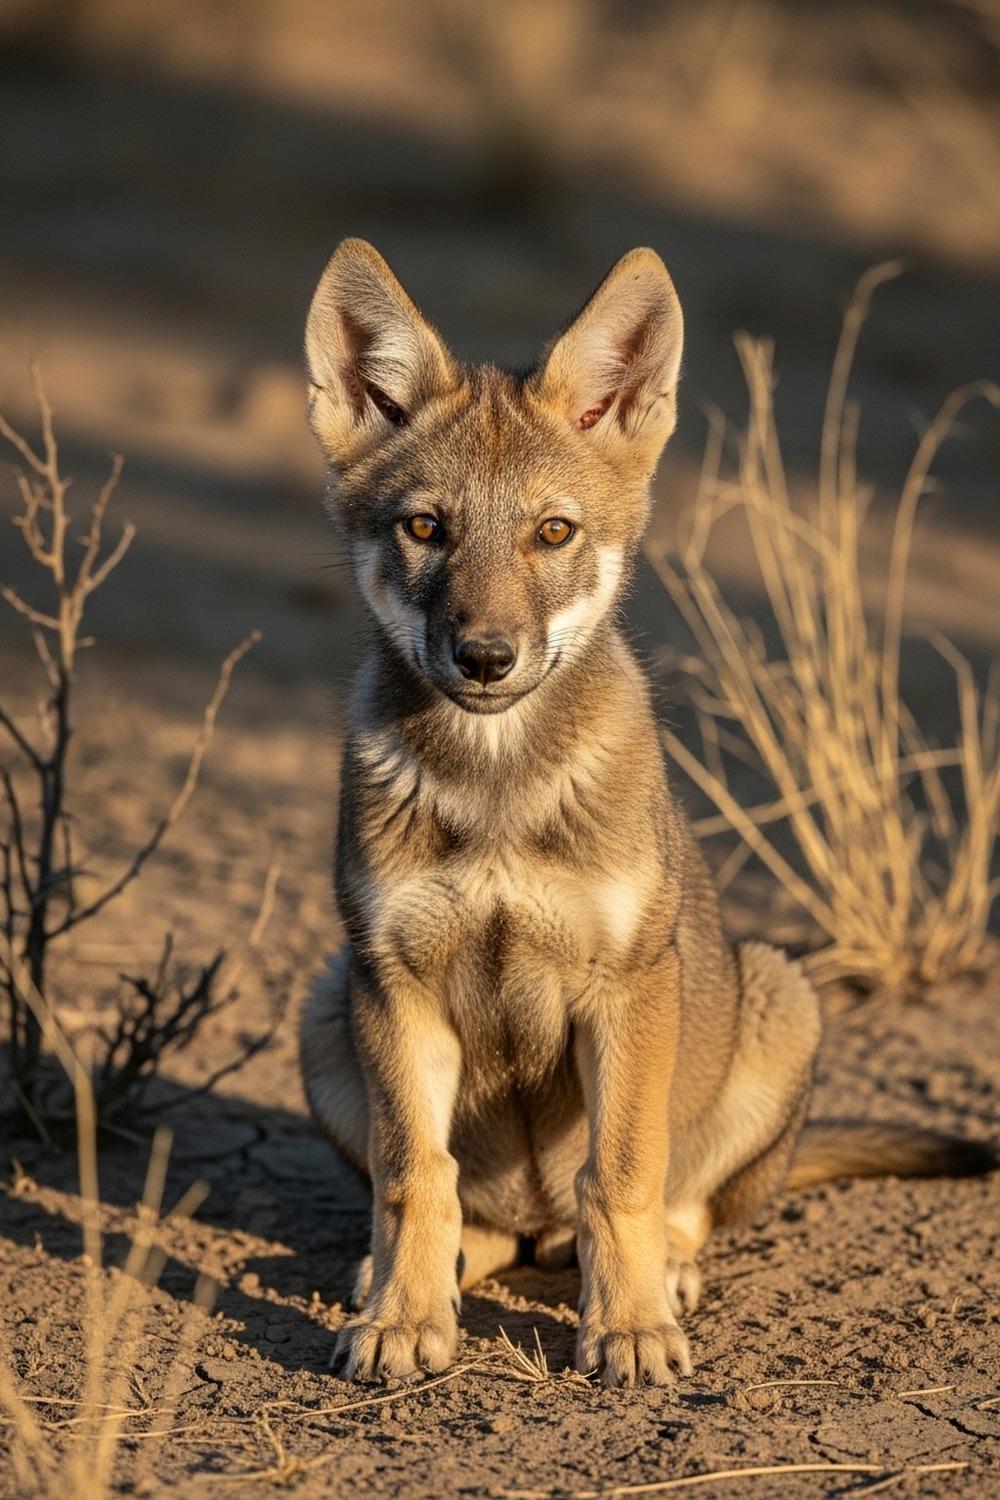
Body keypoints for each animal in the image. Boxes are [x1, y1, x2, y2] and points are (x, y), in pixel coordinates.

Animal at [299, 239, 995, 1387]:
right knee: (480, 1217)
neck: (499, 792)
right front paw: (400, 1320)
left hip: (778, 996)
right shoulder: (393, 979)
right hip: (324, 1010)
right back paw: (423, 1271)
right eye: (425, 529)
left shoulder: (626, 986)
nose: (484, 657)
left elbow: (620, 1179)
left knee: (669, 1207)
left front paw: (625, 1330)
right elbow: (414, 1177)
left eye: (552, 532)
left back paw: (661, 1277)